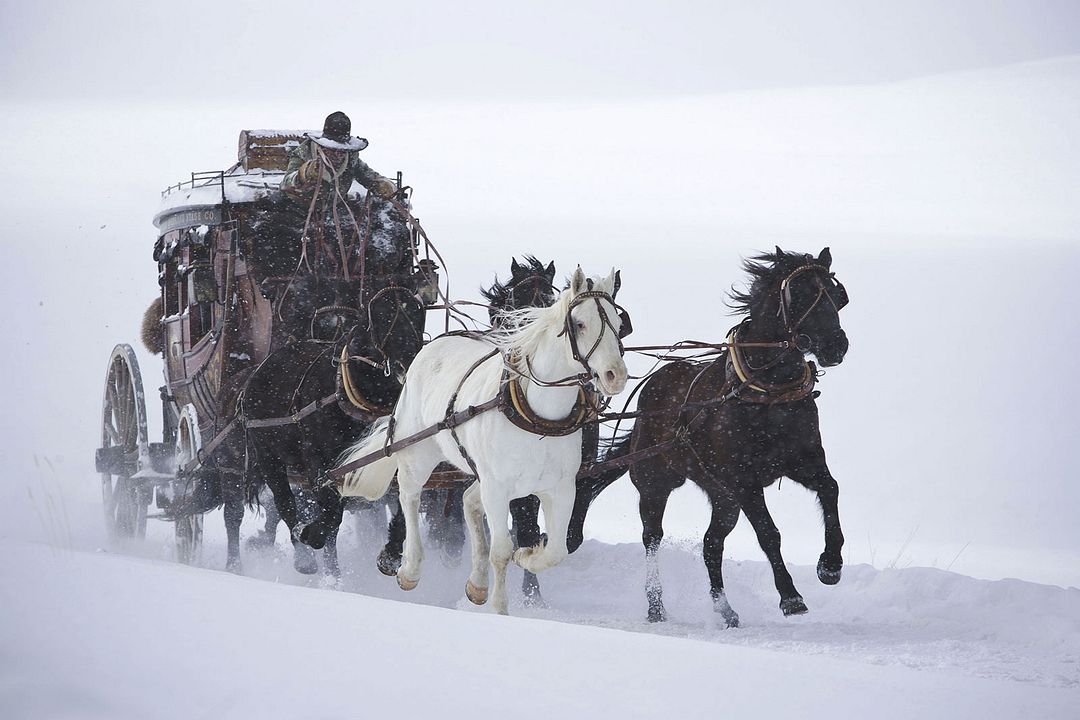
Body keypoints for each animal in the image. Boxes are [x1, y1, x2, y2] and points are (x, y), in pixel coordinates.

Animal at [334, 267, 626, 617]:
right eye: (580, 324)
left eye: (619, 324)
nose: (615, 376)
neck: (537, 415)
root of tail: (431, 346)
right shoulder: (498, 487)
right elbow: (500, 550)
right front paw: (500, 609)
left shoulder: (560, 487)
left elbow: (556, 551)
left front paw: (528, 555)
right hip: (419, 453)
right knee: (409, 497)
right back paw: (410, 569)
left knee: (468, 501)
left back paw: (477, 582)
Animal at [570, 248, 846, 626]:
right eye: (801, 294)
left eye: (836, 296)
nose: (837, 345)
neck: (767, 393)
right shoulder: (744, 481)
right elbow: (769, 533)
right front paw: (791, 596)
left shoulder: (803, 461)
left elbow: (831, 490)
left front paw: (830, 565)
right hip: (656, 482)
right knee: (652, 537)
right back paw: (655, 605)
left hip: (722, 497)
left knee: (711, 543)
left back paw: (724, 609)